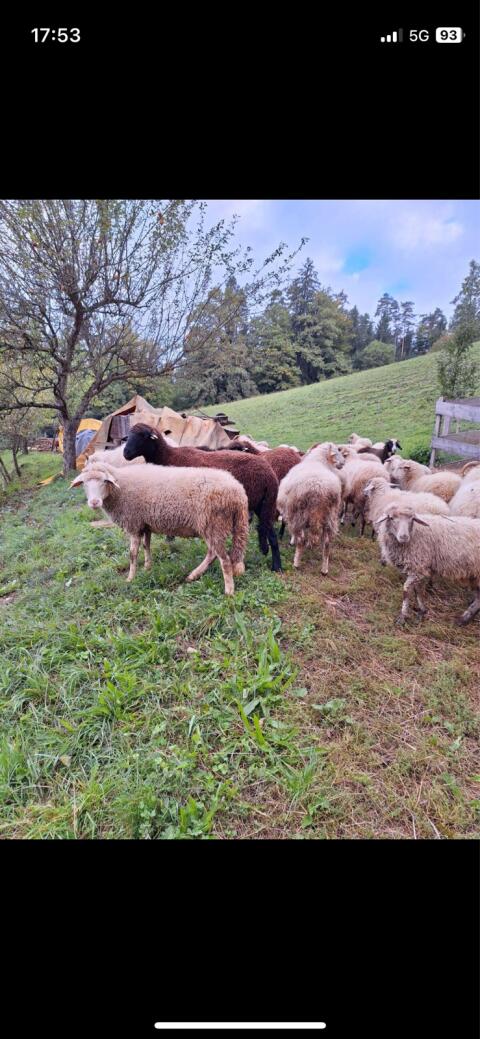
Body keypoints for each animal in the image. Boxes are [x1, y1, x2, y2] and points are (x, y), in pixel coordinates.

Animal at [70, 461, 249, 596]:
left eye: (104, 481)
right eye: (84, 483)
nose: (94, 502)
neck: (120, 487)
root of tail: (238, 492)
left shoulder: (133, 524)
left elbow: (132, 554)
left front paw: (130, 578)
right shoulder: (145, 524)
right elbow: (146, 545)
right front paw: (148, 567)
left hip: (214, 524)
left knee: (224, 560)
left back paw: (229, 591)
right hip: (212, 526)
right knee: (213, 554)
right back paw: (193, 575)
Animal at [123, 423, 282, 572]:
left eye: (143, 436)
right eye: (128, 436)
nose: (125, 453)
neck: (167, 457)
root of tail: (269, 473)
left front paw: (170, 539)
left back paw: (276, 566)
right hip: (262, 504)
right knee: (267, 531)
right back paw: (270, 557)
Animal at [277, 442, 344, 571]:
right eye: (336, 452)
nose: (343, 463)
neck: (318, 460)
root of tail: (319, 489)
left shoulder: (291, 511)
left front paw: (292, 541)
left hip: (300, 514)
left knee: (301, 540)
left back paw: (296, 563)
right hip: (330, 515)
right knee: (327, 543)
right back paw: (324, 569)